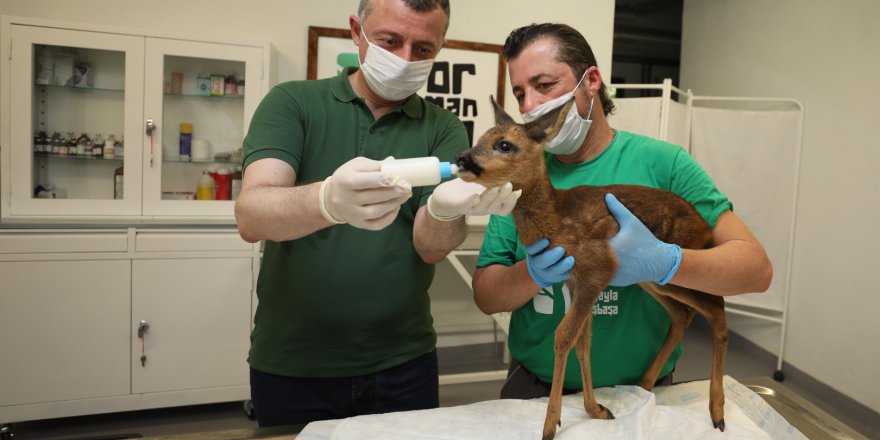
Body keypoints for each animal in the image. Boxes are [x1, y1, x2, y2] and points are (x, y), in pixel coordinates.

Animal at [458, 98, 724, 438]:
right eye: (480, 138)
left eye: (504, 144)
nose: (462, 158)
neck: (557, 220)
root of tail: (706, 228)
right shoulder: (575, 279)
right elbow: (583, 342)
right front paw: (596, 409)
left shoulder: (596, 270)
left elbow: (562, 337)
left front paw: (550, 425)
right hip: (651, 276)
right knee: (683, 314)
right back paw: (645, 384)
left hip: (678, 265)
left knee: (716, 308)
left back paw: (717, 411)